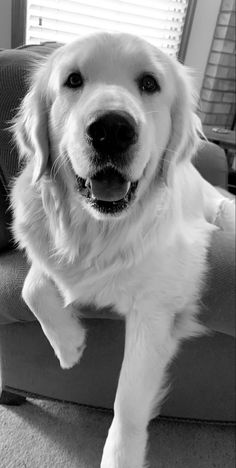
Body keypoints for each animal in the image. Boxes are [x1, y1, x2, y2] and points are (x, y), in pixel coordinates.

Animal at [10, 31, 231, 466]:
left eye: (149, 83)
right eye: (73, 80)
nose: (111, 129)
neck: (101, 231)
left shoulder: (158, 308)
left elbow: (127, 404)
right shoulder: (47, 248)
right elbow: (33, 287)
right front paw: (68, 345)